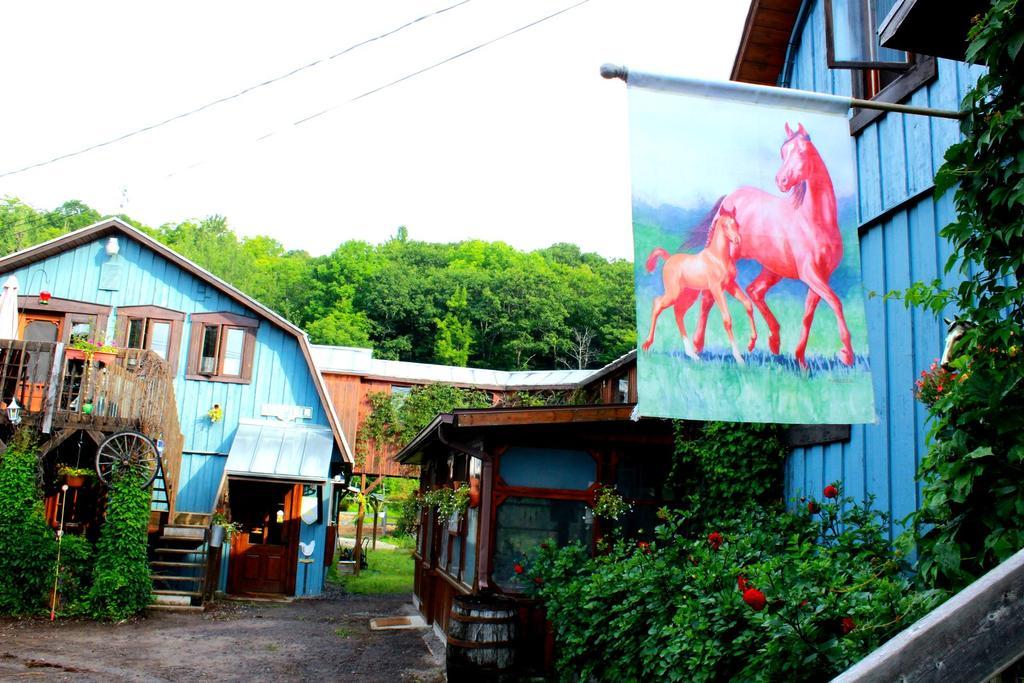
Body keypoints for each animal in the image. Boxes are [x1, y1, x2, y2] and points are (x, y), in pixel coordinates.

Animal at [688, 122, 856, 368]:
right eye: (783, 153)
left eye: (803, 152)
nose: (781, 181)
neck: (814, 221)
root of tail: (729, 199)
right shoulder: (809, 273)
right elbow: (836, 302)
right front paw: (846, 354)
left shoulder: (821, 276)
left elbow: (809, 313)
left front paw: (801, 359)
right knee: (709, 297)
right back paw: (698, 346)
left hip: (773, 269)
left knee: (754, 290)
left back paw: (774, 342)